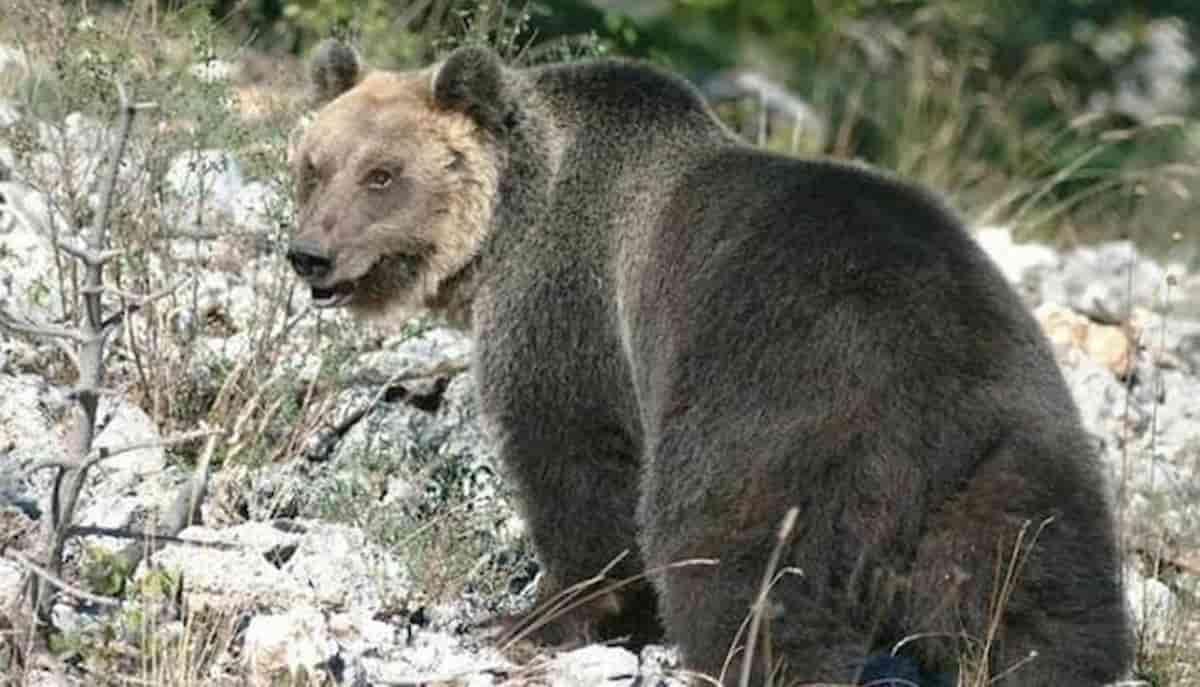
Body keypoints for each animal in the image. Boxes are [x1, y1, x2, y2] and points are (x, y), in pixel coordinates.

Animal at [286, 39, 1134, 686]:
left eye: (383, 173)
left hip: (771, 417)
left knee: (739, 566)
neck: (511, 221)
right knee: (1038, 604)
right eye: (315, 164)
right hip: (1014, 456)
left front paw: (529, 613)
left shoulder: (571, 310)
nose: (310, 254)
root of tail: (924, 400)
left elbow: (574, 465)